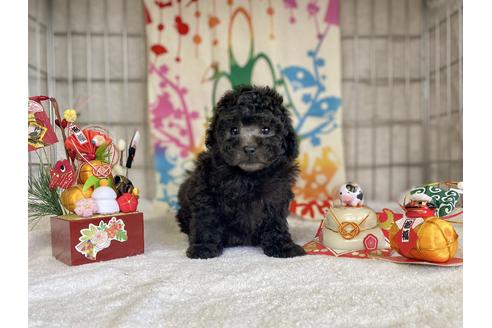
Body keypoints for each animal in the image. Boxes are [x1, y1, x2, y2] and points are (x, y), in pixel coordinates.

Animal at [177, 86, 304, 260]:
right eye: (234, 130)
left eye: (266, 129)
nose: (249, 148)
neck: (248, 177)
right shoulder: (205, 190)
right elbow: (206, 219)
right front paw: (203, 247)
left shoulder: (276, 196)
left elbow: (275, 221)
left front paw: (282, 246)